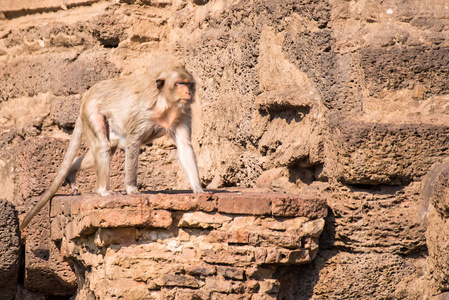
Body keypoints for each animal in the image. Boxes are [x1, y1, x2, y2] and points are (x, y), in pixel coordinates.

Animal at [20, 61, 204, 230]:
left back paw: (71, 171)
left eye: (188, 83)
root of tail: (86, 96)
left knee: (109, 147)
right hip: (92, 111)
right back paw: (103, 190)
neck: (165, 102)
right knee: (103, 146)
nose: (187, 92)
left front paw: (198, 188)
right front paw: (131, 189)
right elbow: (133, 142)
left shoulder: (183, 112)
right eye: (179, 83)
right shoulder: (143, 112)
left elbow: (185, 146)